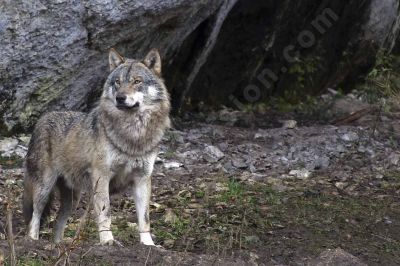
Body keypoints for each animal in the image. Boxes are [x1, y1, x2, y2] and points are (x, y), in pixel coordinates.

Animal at [22, 48, 170, 246]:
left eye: (137, 81)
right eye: (117, 82)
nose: (120, 97)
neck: (133, 135)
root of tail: (43, 118)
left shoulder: (142, 179)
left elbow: (144, 218)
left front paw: (148, 245)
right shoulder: (102, 176)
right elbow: (105, 212)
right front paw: (107, 241)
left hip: (73, 200)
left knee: (57, 224)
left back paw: (58, 245)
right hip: (44, 188)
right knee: (35, 216)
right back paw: (33, 241)